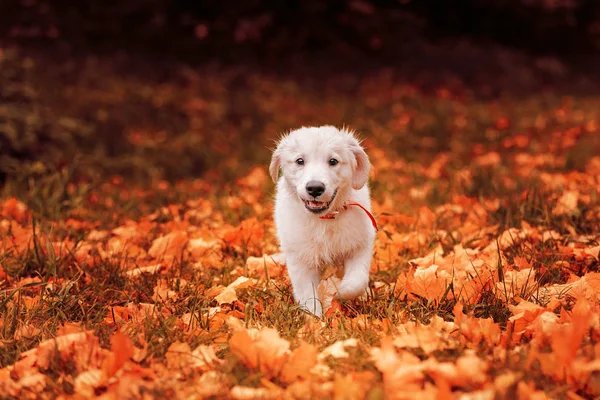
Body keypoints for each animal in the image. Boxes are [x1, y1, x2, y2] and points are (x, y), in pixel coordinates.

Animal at [270, 125, 378, 316]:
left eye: (333, 161)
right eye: (299, 161)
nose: (314, 188)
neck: (324, 219)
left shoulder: (360, 245)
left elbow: (357, 282)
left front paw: (340, 293)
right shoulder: (300, 258)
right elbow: (308, 296)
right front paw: (315, 320)